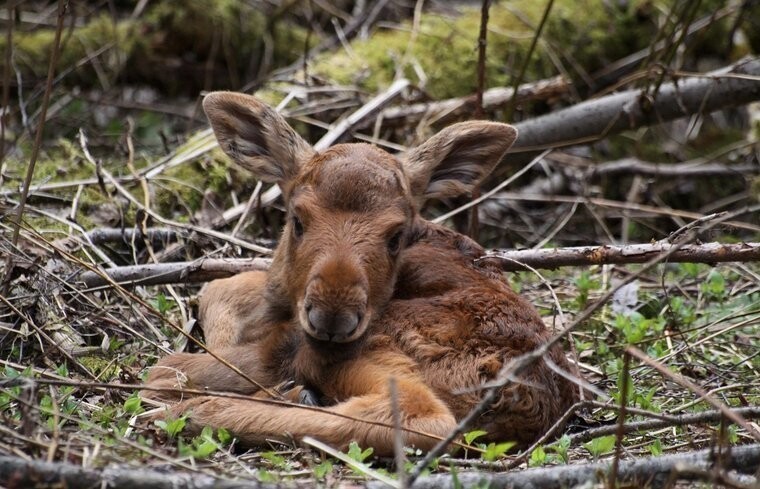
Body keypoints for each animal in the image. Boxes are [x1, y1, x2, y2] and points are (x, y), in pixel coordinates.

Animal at [145, 90, 580, 454]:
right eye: (297, 220)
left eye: (396, 236)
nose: (332, 317)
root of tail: (518, 400)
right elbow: (218, 289)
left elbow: (176, 361)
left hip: (372, 347)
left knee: (421, 417)